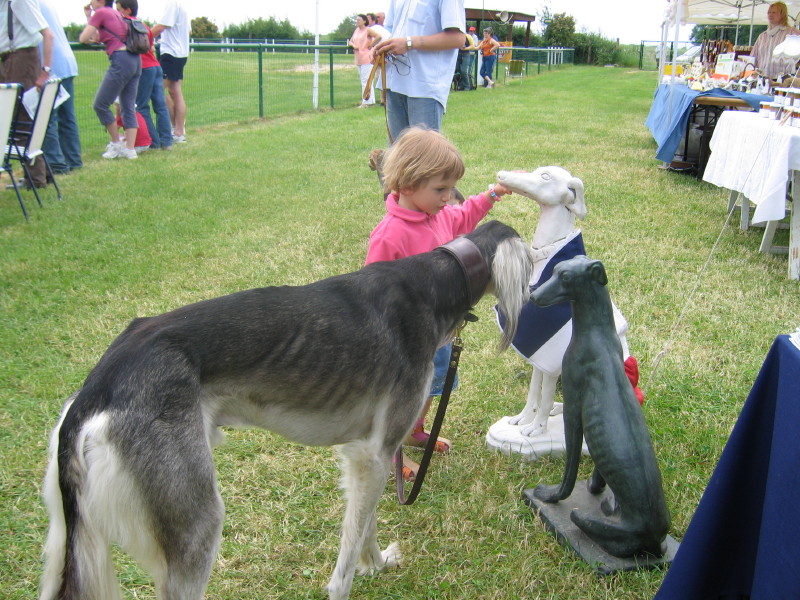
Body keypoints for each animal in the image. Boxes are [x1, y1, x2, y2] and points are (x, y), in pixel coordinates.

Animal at [40, 220, 536, 600]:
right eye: (534, 260)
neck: (436, 277)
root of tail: (102, 381)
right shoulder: (376, 454)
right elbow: (346, 560)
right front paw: (352, 579)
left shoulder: (365, 453)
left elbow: (365, 526)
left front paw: (376, 564)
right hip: (196, 521)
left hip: (75, 535)